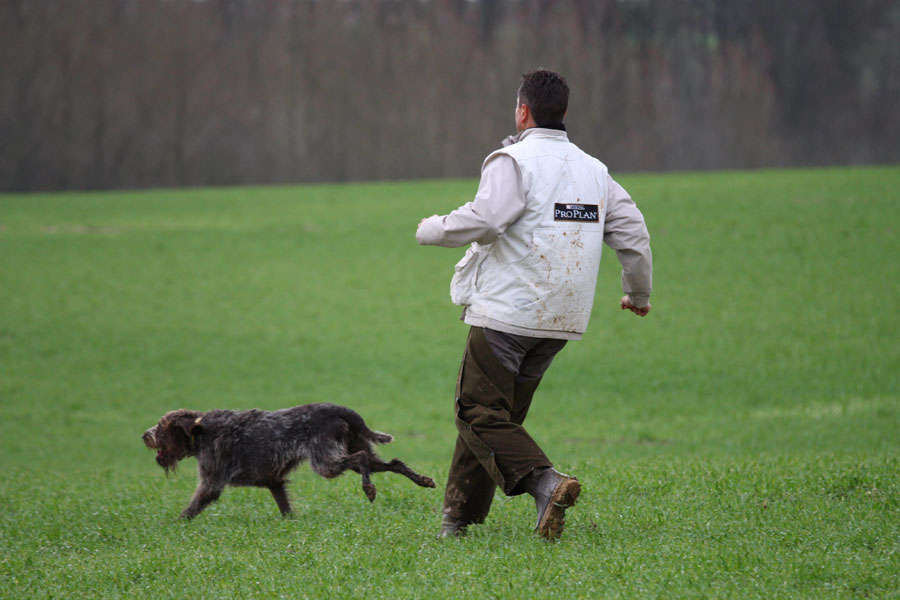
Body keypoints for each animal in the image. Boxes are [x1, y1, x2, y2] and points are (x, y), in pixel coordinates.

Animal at [142, 400, 436, 516]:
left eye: (161, 426)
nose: (145, 435)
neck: (202, 431)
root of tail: (339, 410)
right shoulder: (274, 482)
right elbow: (286, 509)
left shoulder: (210, 484)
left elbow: (189, 510)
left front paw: (170, 525)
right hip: (353, 446)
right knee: (393, 463)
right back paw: (422, 480)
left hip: (325, 462)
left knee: (362, 459)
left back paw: (369, 489)